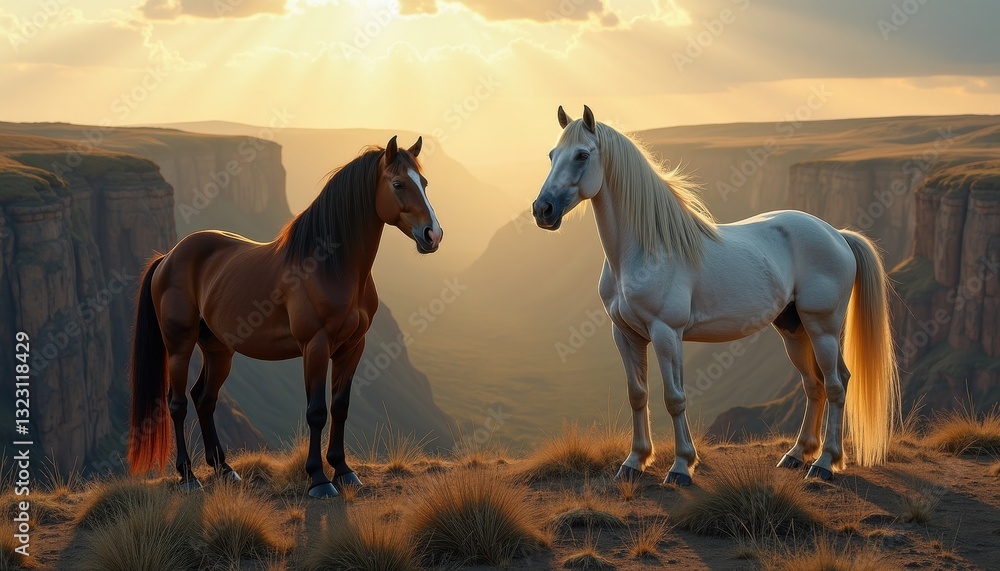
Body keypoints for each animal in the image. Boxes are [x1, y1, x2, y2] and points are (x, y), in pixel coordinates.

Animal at [127, 136, 441, 498]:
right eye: (398, 184)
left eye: (425, 183)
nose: (433, 234)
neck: (331, 267)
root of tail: (168, 256)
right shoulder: (315, 346)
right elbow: (316, 411)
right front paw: (318, 479)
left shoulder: (352, 348)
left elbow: (340, 407)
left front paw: (343, 470)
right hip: (179, 345)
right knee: (177, 404)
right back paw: (189, 476)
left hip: (218, 349)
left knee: (204, 399)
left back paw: (224, 469)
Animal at [532, 106, 900, 485]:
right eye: (552, 155)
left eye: (582, 155)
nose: (542, 210)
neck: (646, 250)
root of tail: (837, 234)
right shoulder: (625, 334)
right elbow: (637, 395)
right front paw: (634, 462)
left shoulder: (666, 334)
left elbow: (674, 398)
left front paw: (681, 467)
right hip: (794, 329)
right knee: (814, 385)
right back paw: (797, 454)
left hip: (822, 328)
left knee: (836, 385)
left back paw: (825, 462)